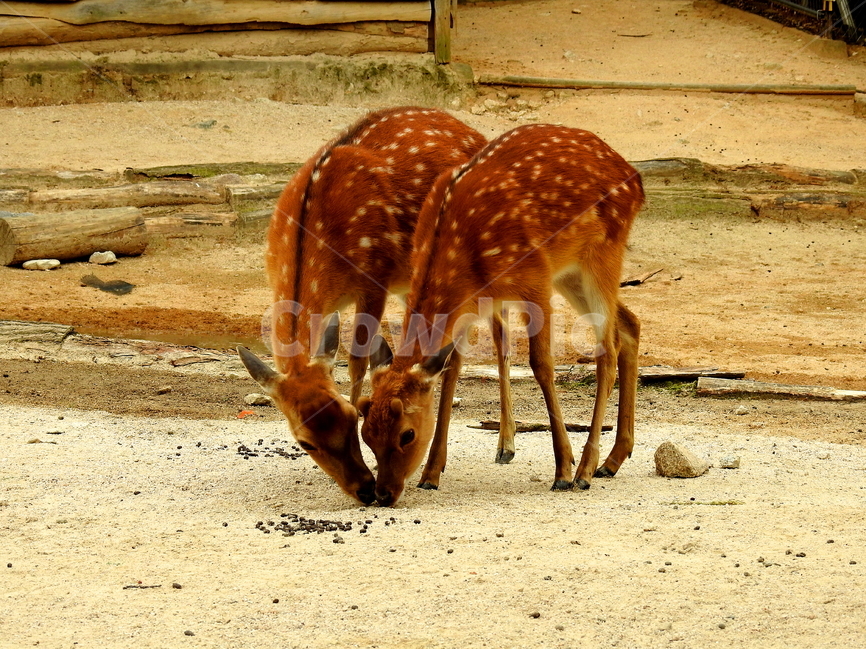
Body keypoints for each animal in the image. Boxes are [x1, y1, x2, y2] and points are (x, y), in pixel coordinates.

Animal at [237, 107, 486, 505]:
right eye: (304, 442)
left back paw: (436, 469)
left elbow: (357, 360)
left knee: (455, 359)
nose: (365, 489)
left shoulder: (375, 278)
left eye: (350, 414)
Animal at [358, 123, 644, 507]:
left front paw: (562, 470)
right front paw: (431, 474)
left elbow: (541, 364)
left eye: (406, 434)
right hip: (571, 272)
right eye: (366, 434)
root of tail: (636, 178)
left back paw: (585, 470)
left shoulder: (536, 278)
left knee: (606, 351)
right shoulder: (472, 306)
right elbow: (451, 371)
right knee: (629, 324)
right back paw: (613, 460)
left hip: (601, 254)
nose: (383, 494)